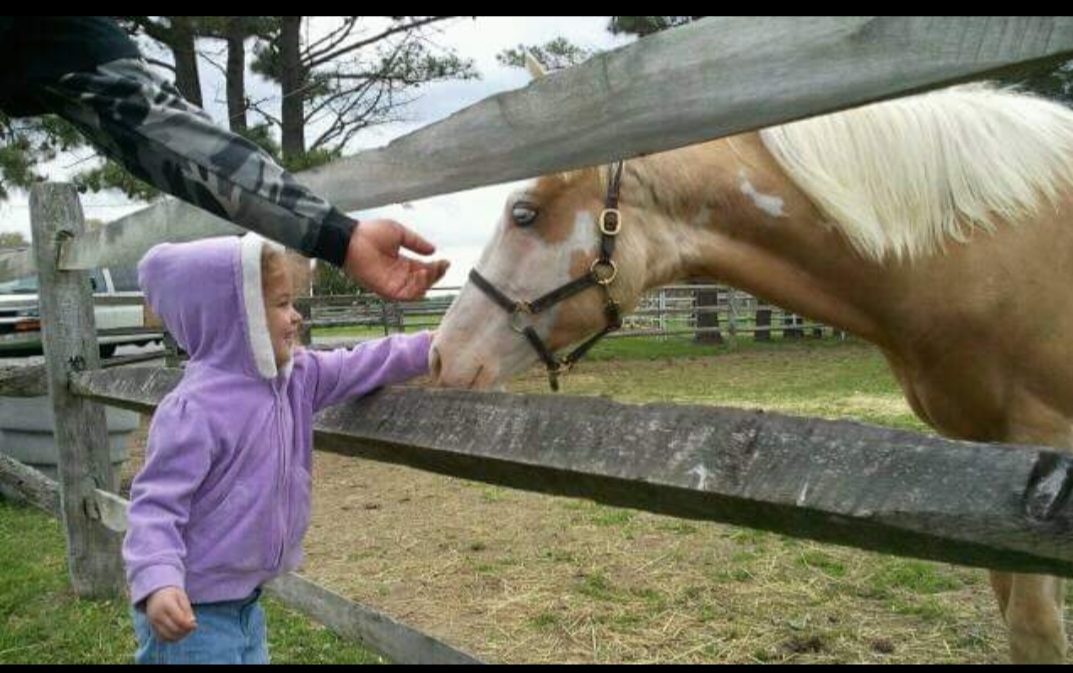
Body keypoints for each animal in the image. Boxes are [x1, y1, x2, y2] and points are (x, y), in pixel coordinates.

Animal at [431, 80, 1073, 665]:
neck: (985, 250)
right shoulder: (989, 465)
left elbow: (1034, 627)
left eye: (525, 213)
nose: (439, 354)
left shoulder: (1040, 453)